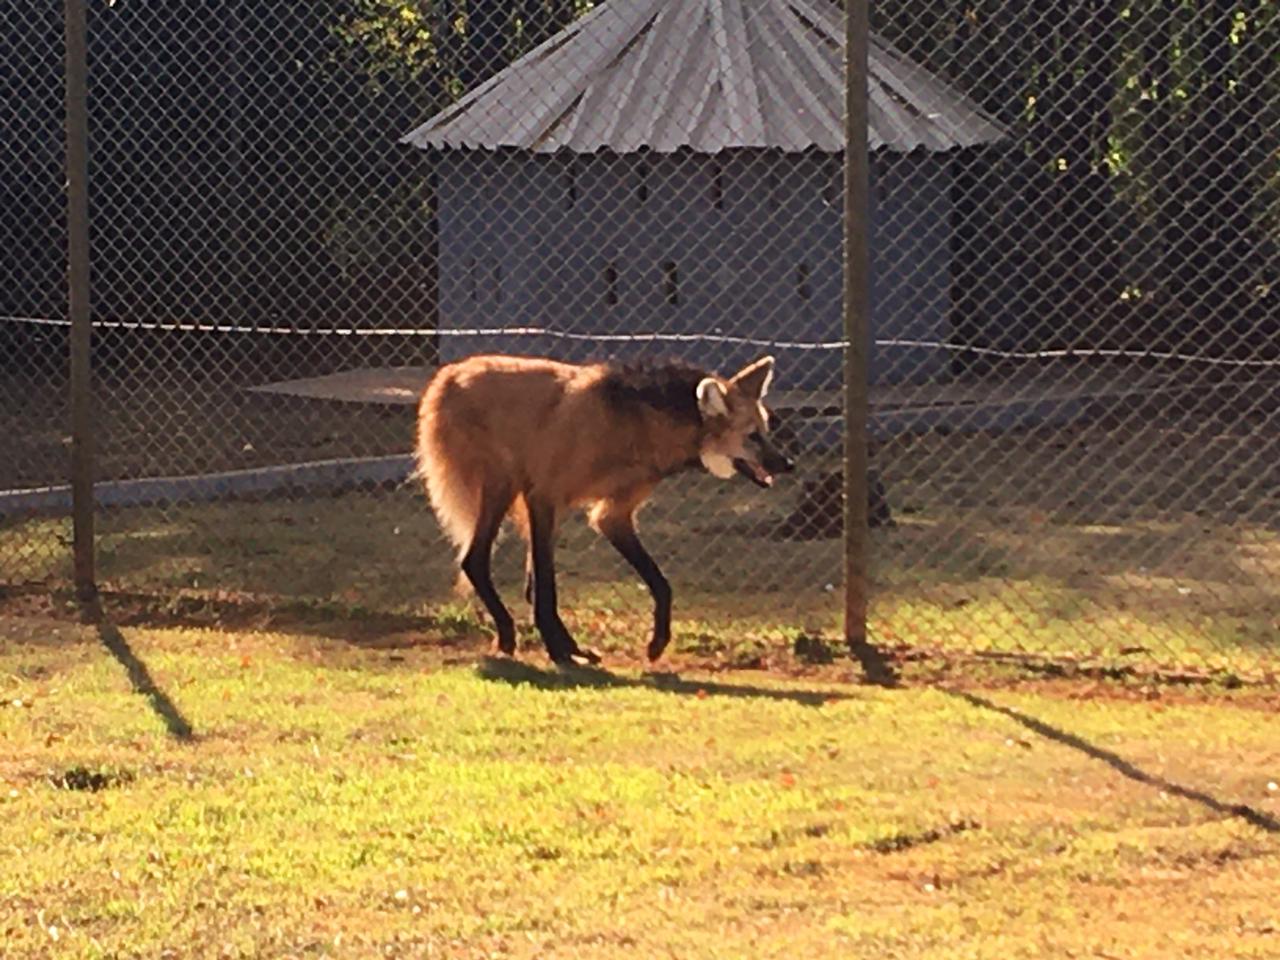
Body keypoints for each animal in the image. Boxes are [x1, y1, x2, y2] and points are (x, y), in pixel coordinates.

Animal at [414, 355, 793, 670]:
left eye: (767, 433)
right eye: (753, 437)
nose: (788, 463)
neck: (636, 427)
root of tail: (448, 373)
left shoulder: (609, 514)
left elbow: (660, 583)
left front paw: (656, 644)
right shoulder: (546, 496)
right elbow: (547, 587)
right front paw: (557, 651)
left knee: (496, 567)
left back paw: (554, 644)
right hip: (502, 483)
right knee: (475, 559)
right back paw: (514, 636)